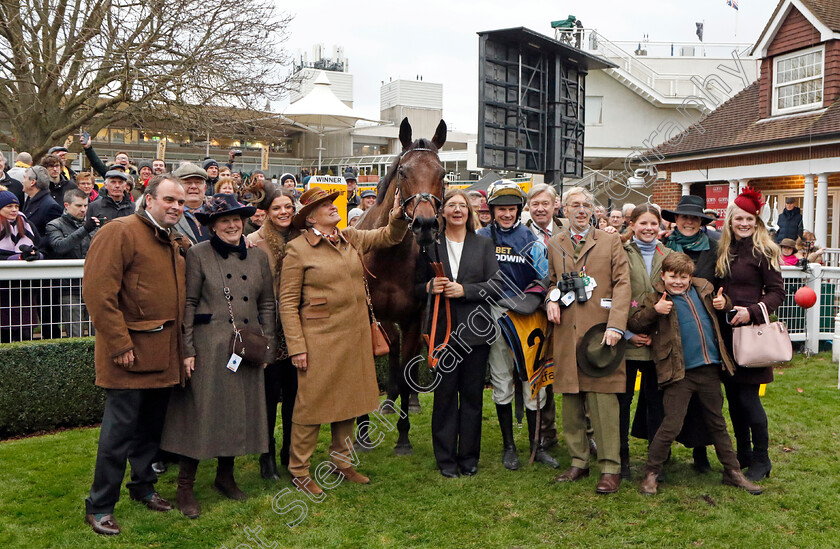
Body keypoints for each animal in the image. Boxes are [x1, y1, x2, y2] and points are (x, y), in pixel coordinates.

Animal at [354, 117, 446, 456]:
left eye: (442, 173)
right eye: (403, 172)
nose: (425, 225)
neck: (389, 255)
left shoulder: (412, 317)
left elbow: (408, 363)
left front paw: (404, 437)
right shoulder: (370, 317)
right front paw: (363, 433)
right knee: (391, 347)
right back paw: (389, 401)